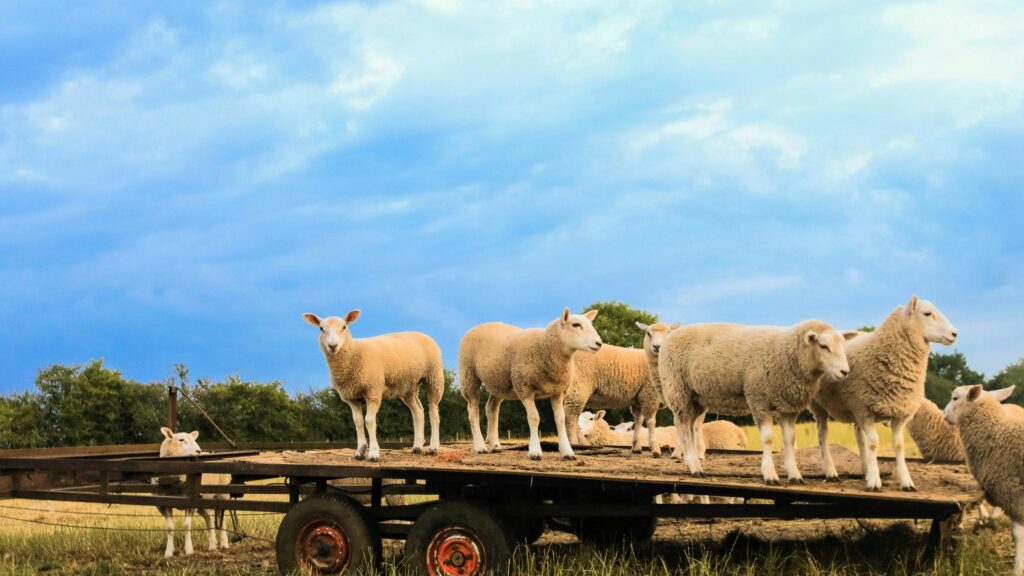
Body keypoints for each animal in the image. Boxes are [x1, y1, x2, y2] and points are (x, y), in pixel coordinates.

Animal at [155, 428, 230, 557]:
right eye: (181, 440)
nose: (198, 451)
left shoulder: (190, 503)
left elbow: (186, 525)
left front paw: (189, 550)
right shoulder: (165, 504)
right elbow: (170, 528)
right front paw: (168, 552)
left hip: (222, 494)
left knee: (221, 518)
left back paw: (224, 544)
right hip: (203, 502)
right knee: (209, 519)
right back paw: (212, 546)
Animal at [303, 310, 444, 462]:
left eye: (344, 327)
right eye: (321, 328)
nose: (333, 345)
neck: (353, 353)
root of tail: (422, 333)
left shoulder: (373, 391)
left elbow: (369, 421)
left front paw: (374, 453)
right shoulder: (351, 397)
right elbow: (358, 422)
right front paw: (360, 451)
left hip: (433, 376)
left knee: (433, 412)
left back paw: (433, 448)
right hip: (408, 386)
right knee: (418, 411)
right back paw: (417, 447)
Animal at [460, 308, 602, 460]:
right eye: (576, 325)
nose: (599, 343)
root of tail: (479, 325)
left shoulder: (558, 392)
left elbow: (560, 420)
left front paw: (567, 451)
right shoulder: (525, 388)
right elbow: (534, 418)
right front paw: (535, 451)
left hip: (499, 382)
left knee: (491, 408)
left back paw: (495, 445)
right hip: (469, 375)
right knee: (473, 410)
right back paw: (480, 446)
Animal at [659, 320, 851, 485]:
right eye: (823, 346)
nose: (845, 372)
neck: (785, 352)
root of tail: (671, 335)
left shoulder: (787, 407)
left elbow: (789, 440)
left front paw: (794, 474)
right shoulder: (759, 399)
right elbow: (767, 439)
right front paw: (769, 474)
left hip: (696, 397)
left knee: (690, 426)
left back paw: (692, 461)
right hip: (678, 390)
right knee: (683, 426)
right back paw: (694, 467)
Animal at [812, 296, 957, 491]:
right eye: (927, 313)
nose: (954, 334)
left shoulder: (899, 413)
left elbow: (899, 445)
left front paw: (906, 481)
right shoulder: (865, 410)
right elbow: (874, 444)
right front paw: (874, 481)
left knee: (859, 437)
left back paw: (865, 469)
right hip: (820, 405)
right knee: (823, 435)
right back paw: (831, 472)